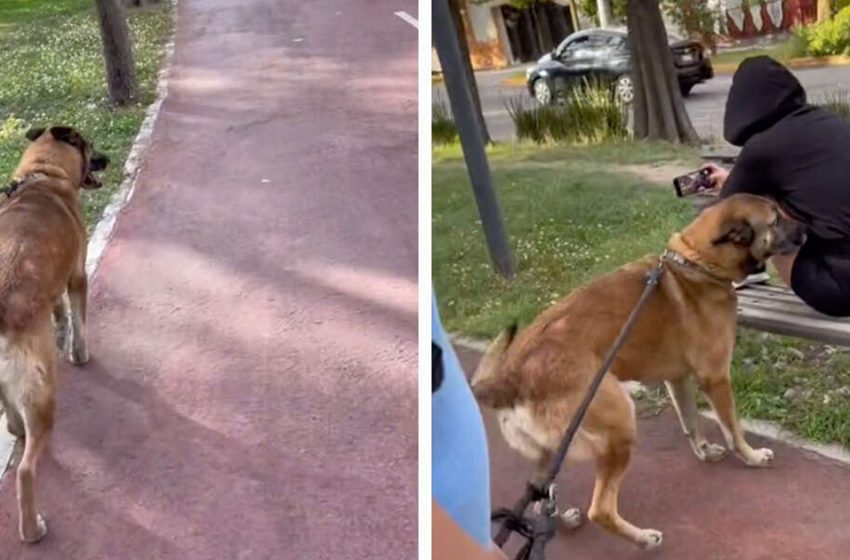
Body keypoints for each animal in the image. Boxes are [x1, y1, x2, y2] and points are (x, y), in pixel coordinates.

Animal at [0, 127, 107, 544]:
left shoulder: (56, 283)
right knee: (26, 471)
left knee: (13, 420)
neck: (44, 175)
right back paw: (32, 529)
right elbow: (80, 319)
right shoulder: (77, 274)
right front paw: (80, 352)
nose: (107, 159)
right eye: (90, 146)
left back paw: (15, 427)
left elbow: (61, 310)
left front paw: (62, 329)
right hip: (43, 393)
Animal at [474, 195, 804, 548]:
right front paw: (752, 457)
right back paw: (643, 539)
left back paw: (556, 521)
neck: (696, 263)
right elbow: (733, 430)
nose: (808, 228)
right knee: (600, 509)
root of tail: (511, 377)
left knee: (539, 494)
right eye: (776, 220)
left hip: (555, 449)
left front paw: (704, 452)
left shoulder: (678, 379)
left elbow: (691, 423)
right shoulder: (715, 378)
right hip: (619, 423)